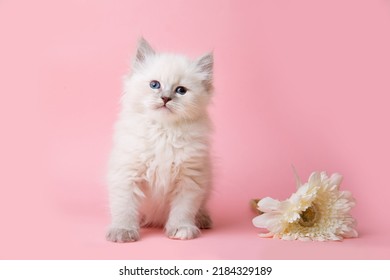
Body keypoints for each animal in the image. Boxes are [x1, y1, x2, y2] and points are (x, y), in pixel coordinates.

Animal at [106, 38, 215, 242]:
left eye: (181, 90)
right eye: (155, 85)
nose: (165, 98)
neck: (164, 131)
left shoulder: (190, 178)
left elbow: (183, 210)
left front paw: (181, 228)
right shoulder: (127, 174)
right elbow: (125, 209)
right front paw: (123, 230)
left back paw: (202, 219)